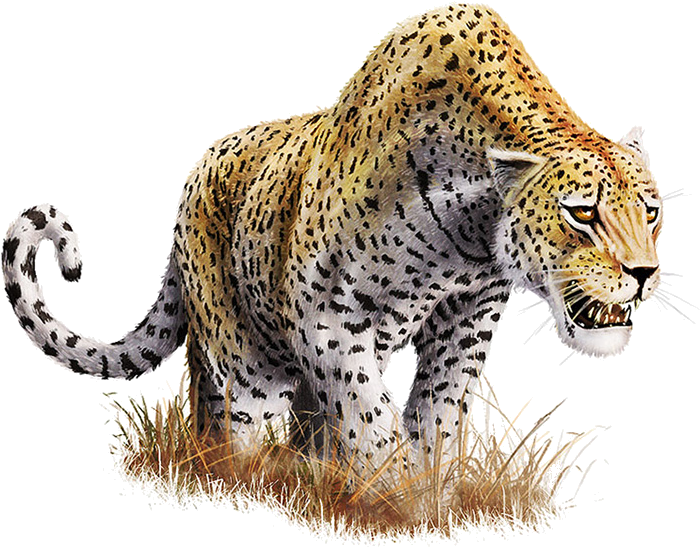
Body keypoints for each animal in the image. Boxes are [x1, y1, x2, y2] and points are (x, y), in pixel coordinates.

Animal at [2, 4, 662, 461]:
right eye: (582, 214)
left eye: (652, 213)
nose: (643, 273)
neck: (475, 235)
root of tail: (196, 175)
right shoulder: (328, 316)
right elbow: (369, 415)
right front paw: (395, 494)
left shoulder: (467, 319)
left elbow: (439, 411)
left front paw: (433, 489)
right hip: (245, 357)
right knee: (237, 421)